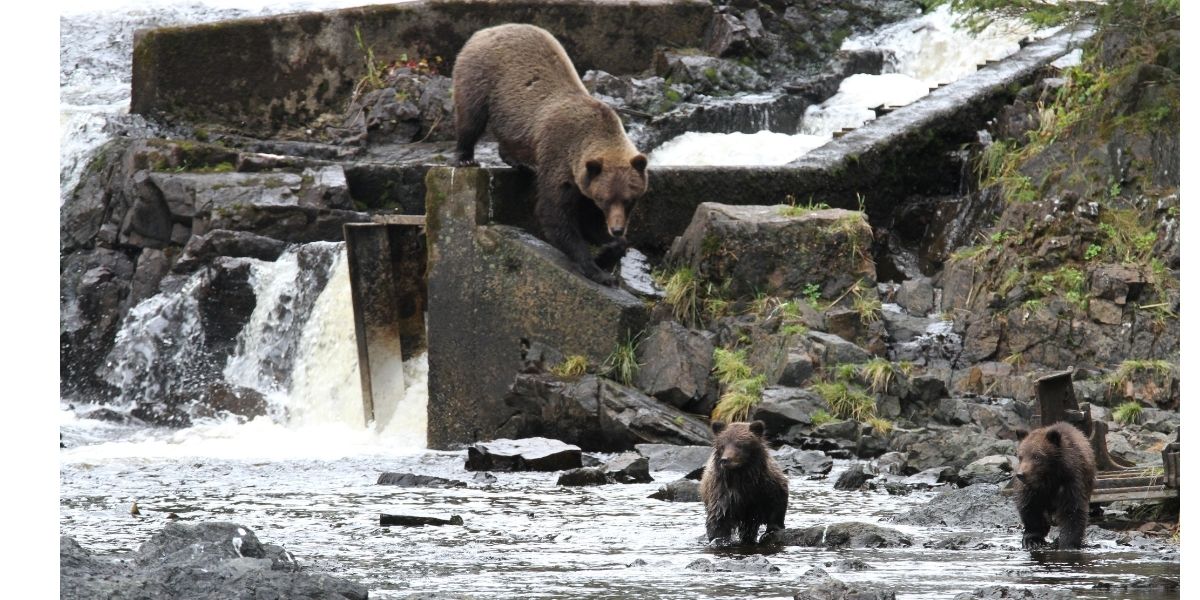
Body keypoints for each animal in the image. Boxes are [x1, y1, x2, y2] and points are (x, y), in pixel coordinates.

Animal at [451, 24, 648, 285]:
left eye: (628, 199)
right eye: (605, 198)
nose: (616, 228)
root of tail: (487, 30)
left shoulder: (586, 180)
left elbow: (590, 220)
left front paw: (610, 249)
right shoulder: (560, 156)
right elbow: (555, 212)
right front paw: (597, 269)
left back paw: (520, 163)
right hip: (481, 76)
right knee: (471, 117)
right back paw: (466, 157)